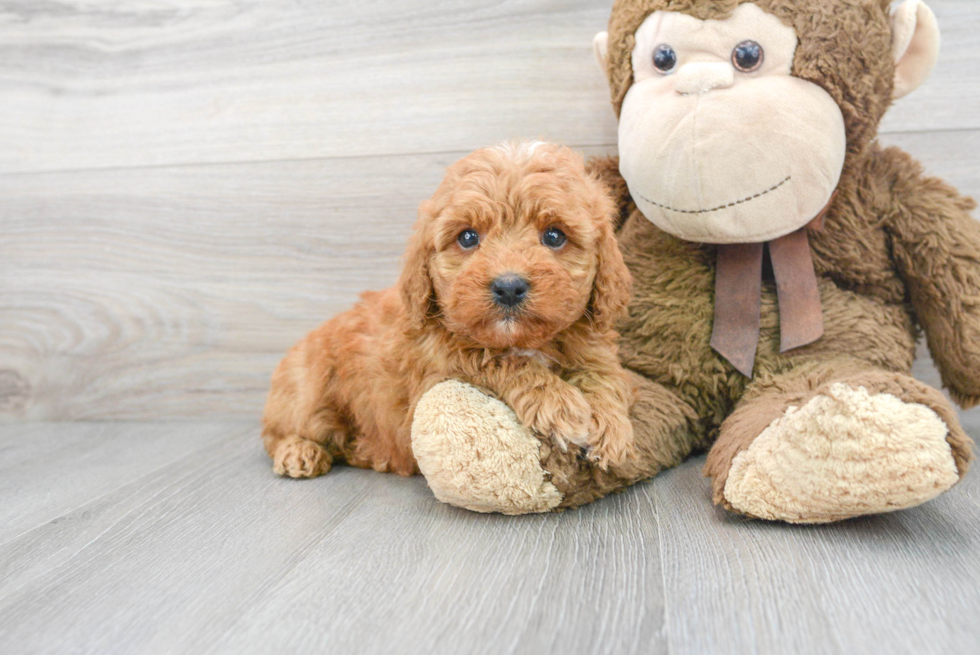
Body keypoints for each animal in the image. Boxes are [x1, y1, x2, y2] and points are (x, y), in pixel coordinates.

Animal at [260, 144, 636, 480]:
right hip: (308, 390)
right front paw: (559, 404)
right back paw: (299, 452)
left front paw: (610, 425)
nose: (509, 286)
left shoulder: (593, 346)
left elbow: (603, 375)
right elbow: (495, 360)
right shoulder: (436, 371)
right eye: (468, 237)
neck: (522, 340)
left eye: (555, 236)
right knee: (277, 433)